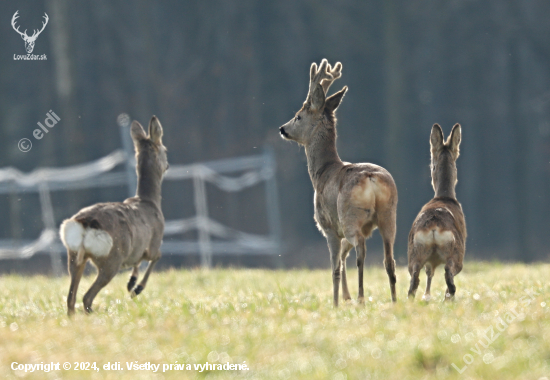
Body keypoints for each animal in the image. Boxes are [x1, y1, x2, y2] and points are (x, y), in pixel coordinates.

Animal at [59, 116, 169, 314]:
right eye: (165, 150)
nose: (168, 165)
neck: (149, 201)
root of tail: (85, 223)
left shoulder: (137, 248)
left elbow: (138, 260)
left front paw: (131, 283)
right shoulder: (154, 241)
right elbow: (156, 256)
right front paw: (136, 288)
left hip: (74, 255)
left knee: (71, 299)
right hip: (112, 258)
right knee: (87, 296)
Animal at [280, 60, 402, 308]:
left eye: (298, 116)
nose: (282, 129)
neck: (322, 172)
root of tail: (371, 178)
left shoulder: (328, 227)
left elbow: (335, 269)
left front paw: (335, 303)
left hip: (349, 216)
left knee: (360, 250)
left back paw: (361, 297)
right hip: (389, 215)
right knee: (389, 259)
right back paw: (394, 300)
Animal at [408, 123, 468, 302]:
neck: (444, 196)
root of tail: (434, 226)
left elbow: (429, 274)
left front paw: (427, 296)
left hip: (415, 252)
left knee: (414, 281)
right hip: (455, 252)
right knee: (449, 274)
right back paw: (449, 297)